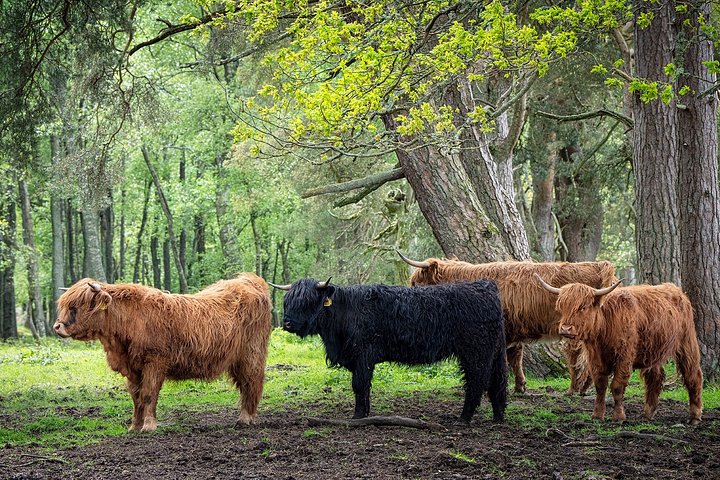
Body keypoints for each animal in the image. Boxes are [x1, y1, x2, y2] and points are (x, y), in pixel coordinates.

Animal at [53, 274, 272, 432]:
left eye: (75, 306)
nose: (57, 326)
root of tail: (250, 279)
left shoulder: (155, 361)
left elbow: (149, 394)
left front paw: (149, 426)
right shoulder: (133, 368)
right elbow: (136, 397)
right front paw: (134, 426)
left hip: (251, 355)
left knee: (251, 382)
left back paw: (245, 418)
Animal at [271, 278, 507, 424]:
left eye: (308, 301)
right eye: (287, 301)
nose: (288, 323)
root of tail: (485, 286)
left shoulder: (364, 354)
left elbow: (359, 385)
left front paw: (358, 416)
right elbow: (364, 387)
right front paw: (365, 414)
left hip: (476, 352)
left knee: (476, 382)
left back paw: (464, 418)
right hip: (495, 352)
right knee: (498, 381)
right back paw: (498, 417)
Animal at [398, 251, 617, 394]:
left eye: (417, 284)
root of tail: (599, 265)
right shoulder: (511, 333)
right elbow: (514, 358)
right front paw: (520, 386)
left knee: (580, 358)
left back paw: (576, 388)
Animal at [535, 275, 703, 424]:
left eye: (583, 307)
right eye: (561, 307)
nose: (565, 329)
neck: (604, 326)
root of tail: (677, 291)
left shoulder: (624, 357)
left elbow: (617, 386)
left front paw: (619, 416)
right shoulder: (595, 359)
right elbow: (600, 386)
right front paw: (597, 415)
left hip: (687, 343)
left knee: (693, 375)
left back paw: (694, 416)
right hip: (653, 351)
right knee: (655, 378)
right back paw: (647, 413)